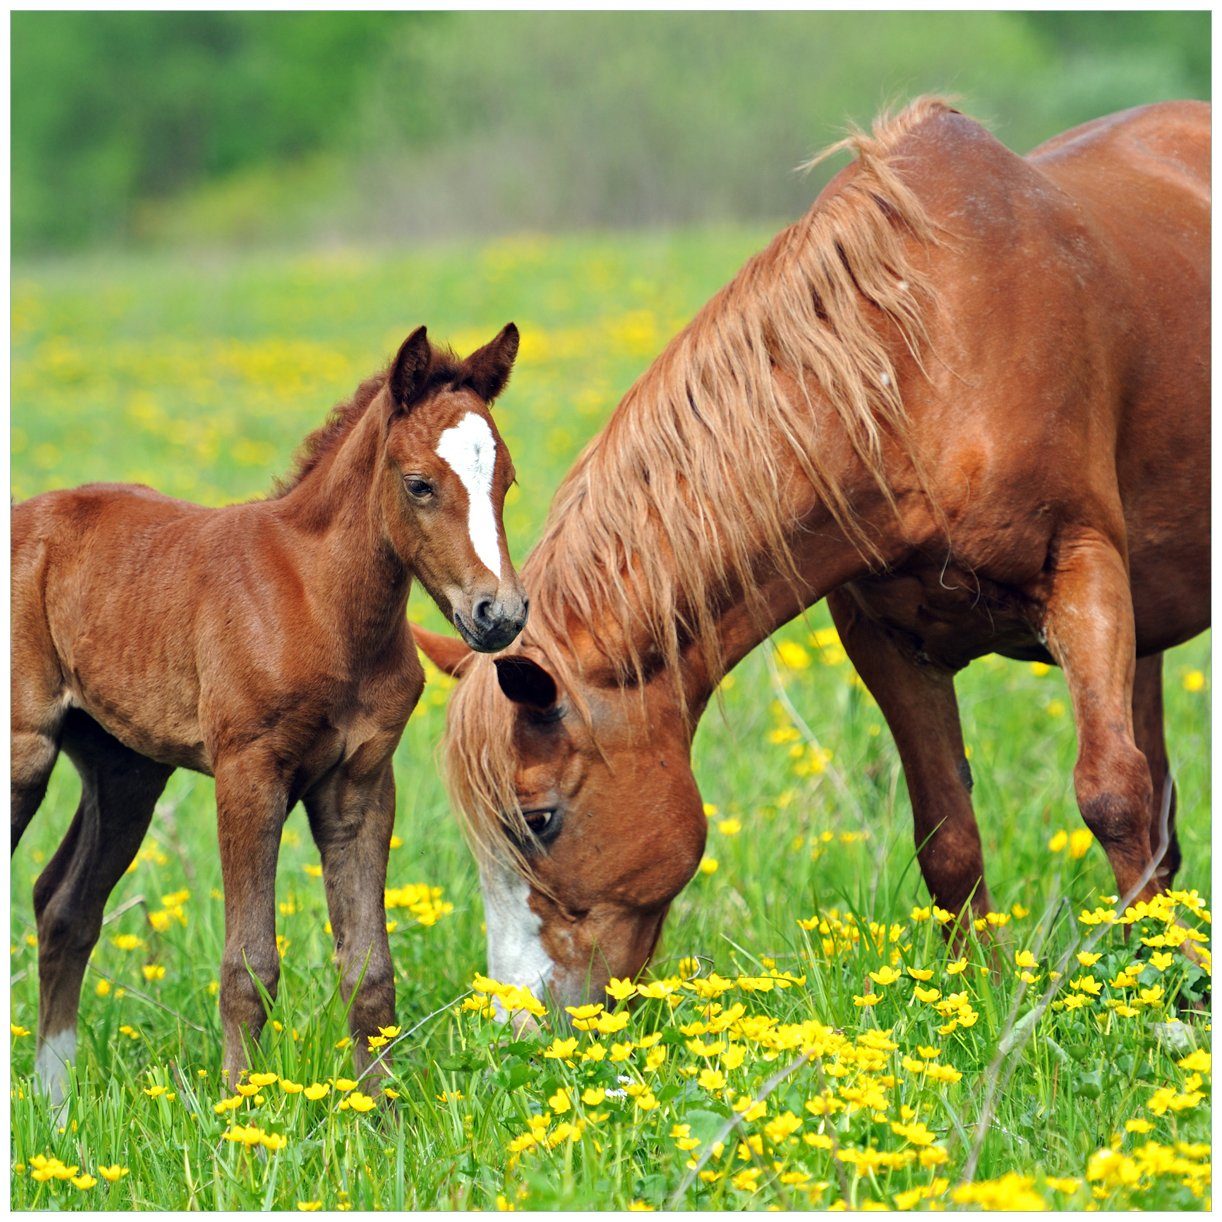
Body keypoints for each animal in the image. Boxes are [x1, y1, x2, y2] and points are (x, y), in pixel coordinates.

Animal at [13, 322, 530, 1099]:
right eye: (419, 484)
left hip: (125, 771)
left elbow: (369, 970)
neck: (319, 602)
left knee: (65, 905)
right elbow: (248, 965)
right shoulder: (248, 771)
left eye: (506, 481)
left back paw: (54, 1101)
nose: (499, 614)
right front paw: (240, 1110)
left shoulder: (360, 784)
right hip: (26, 753)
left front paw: (381, 1114)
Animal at [415, 97, 1207, 1011]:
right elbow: (947, 836)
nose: (521, 1022)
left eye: (538, 820)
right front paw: (973, 996)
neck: (925, 362)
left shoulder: (1083, 572)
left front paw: (1166, 991)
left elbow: (1113, 794)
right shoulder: (888, 640)